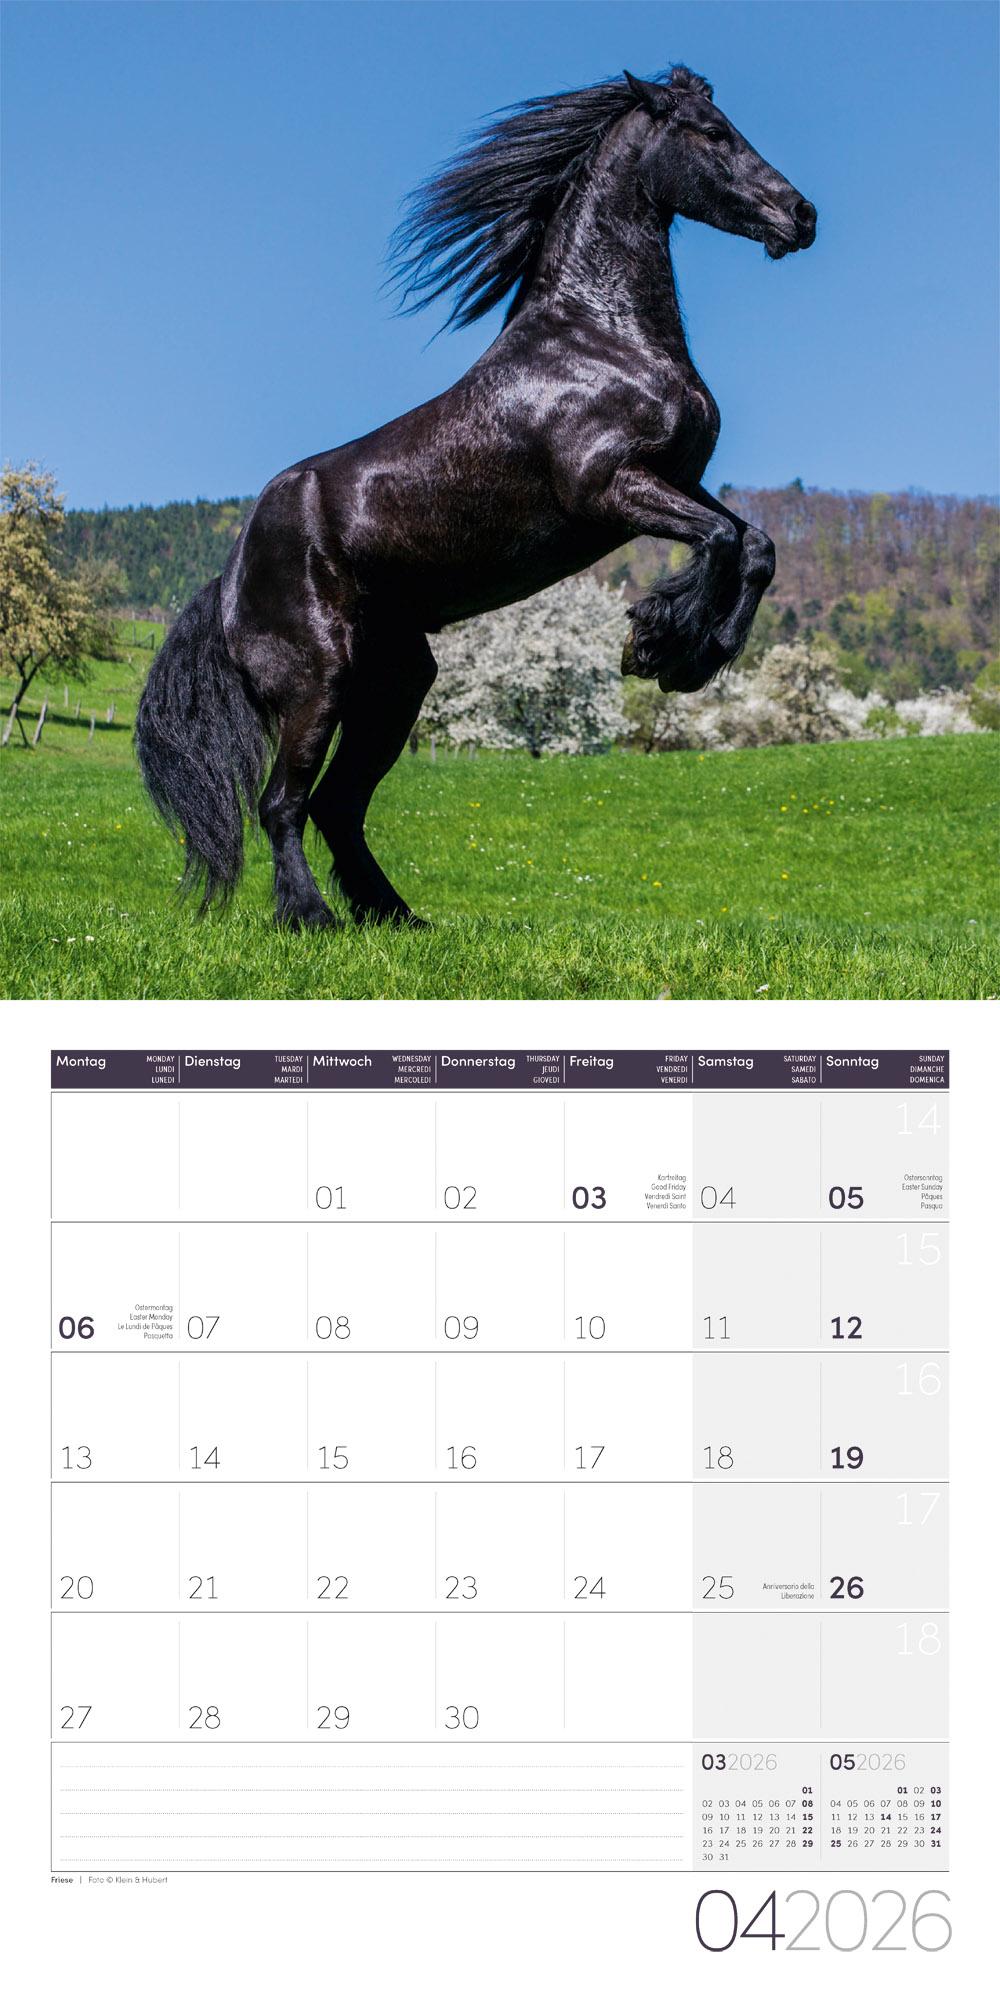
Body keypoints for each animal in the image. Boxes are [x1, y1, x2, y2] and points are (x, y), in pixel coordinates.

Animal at [135, 65, 816, 928]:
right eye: (712, 133)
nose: (800, 216)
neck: (601, 337)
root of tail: (228, 577)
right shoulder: (610, 490)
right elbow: (724, 542)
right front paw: (660, 648)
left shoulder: (678, 480)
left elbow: (755, 545)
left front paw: (693, 651)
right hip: (317, 685)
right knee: (282, 804)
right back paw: (311, 917)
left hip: (394, 685)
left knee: (337, 807)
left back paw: (396, 916)